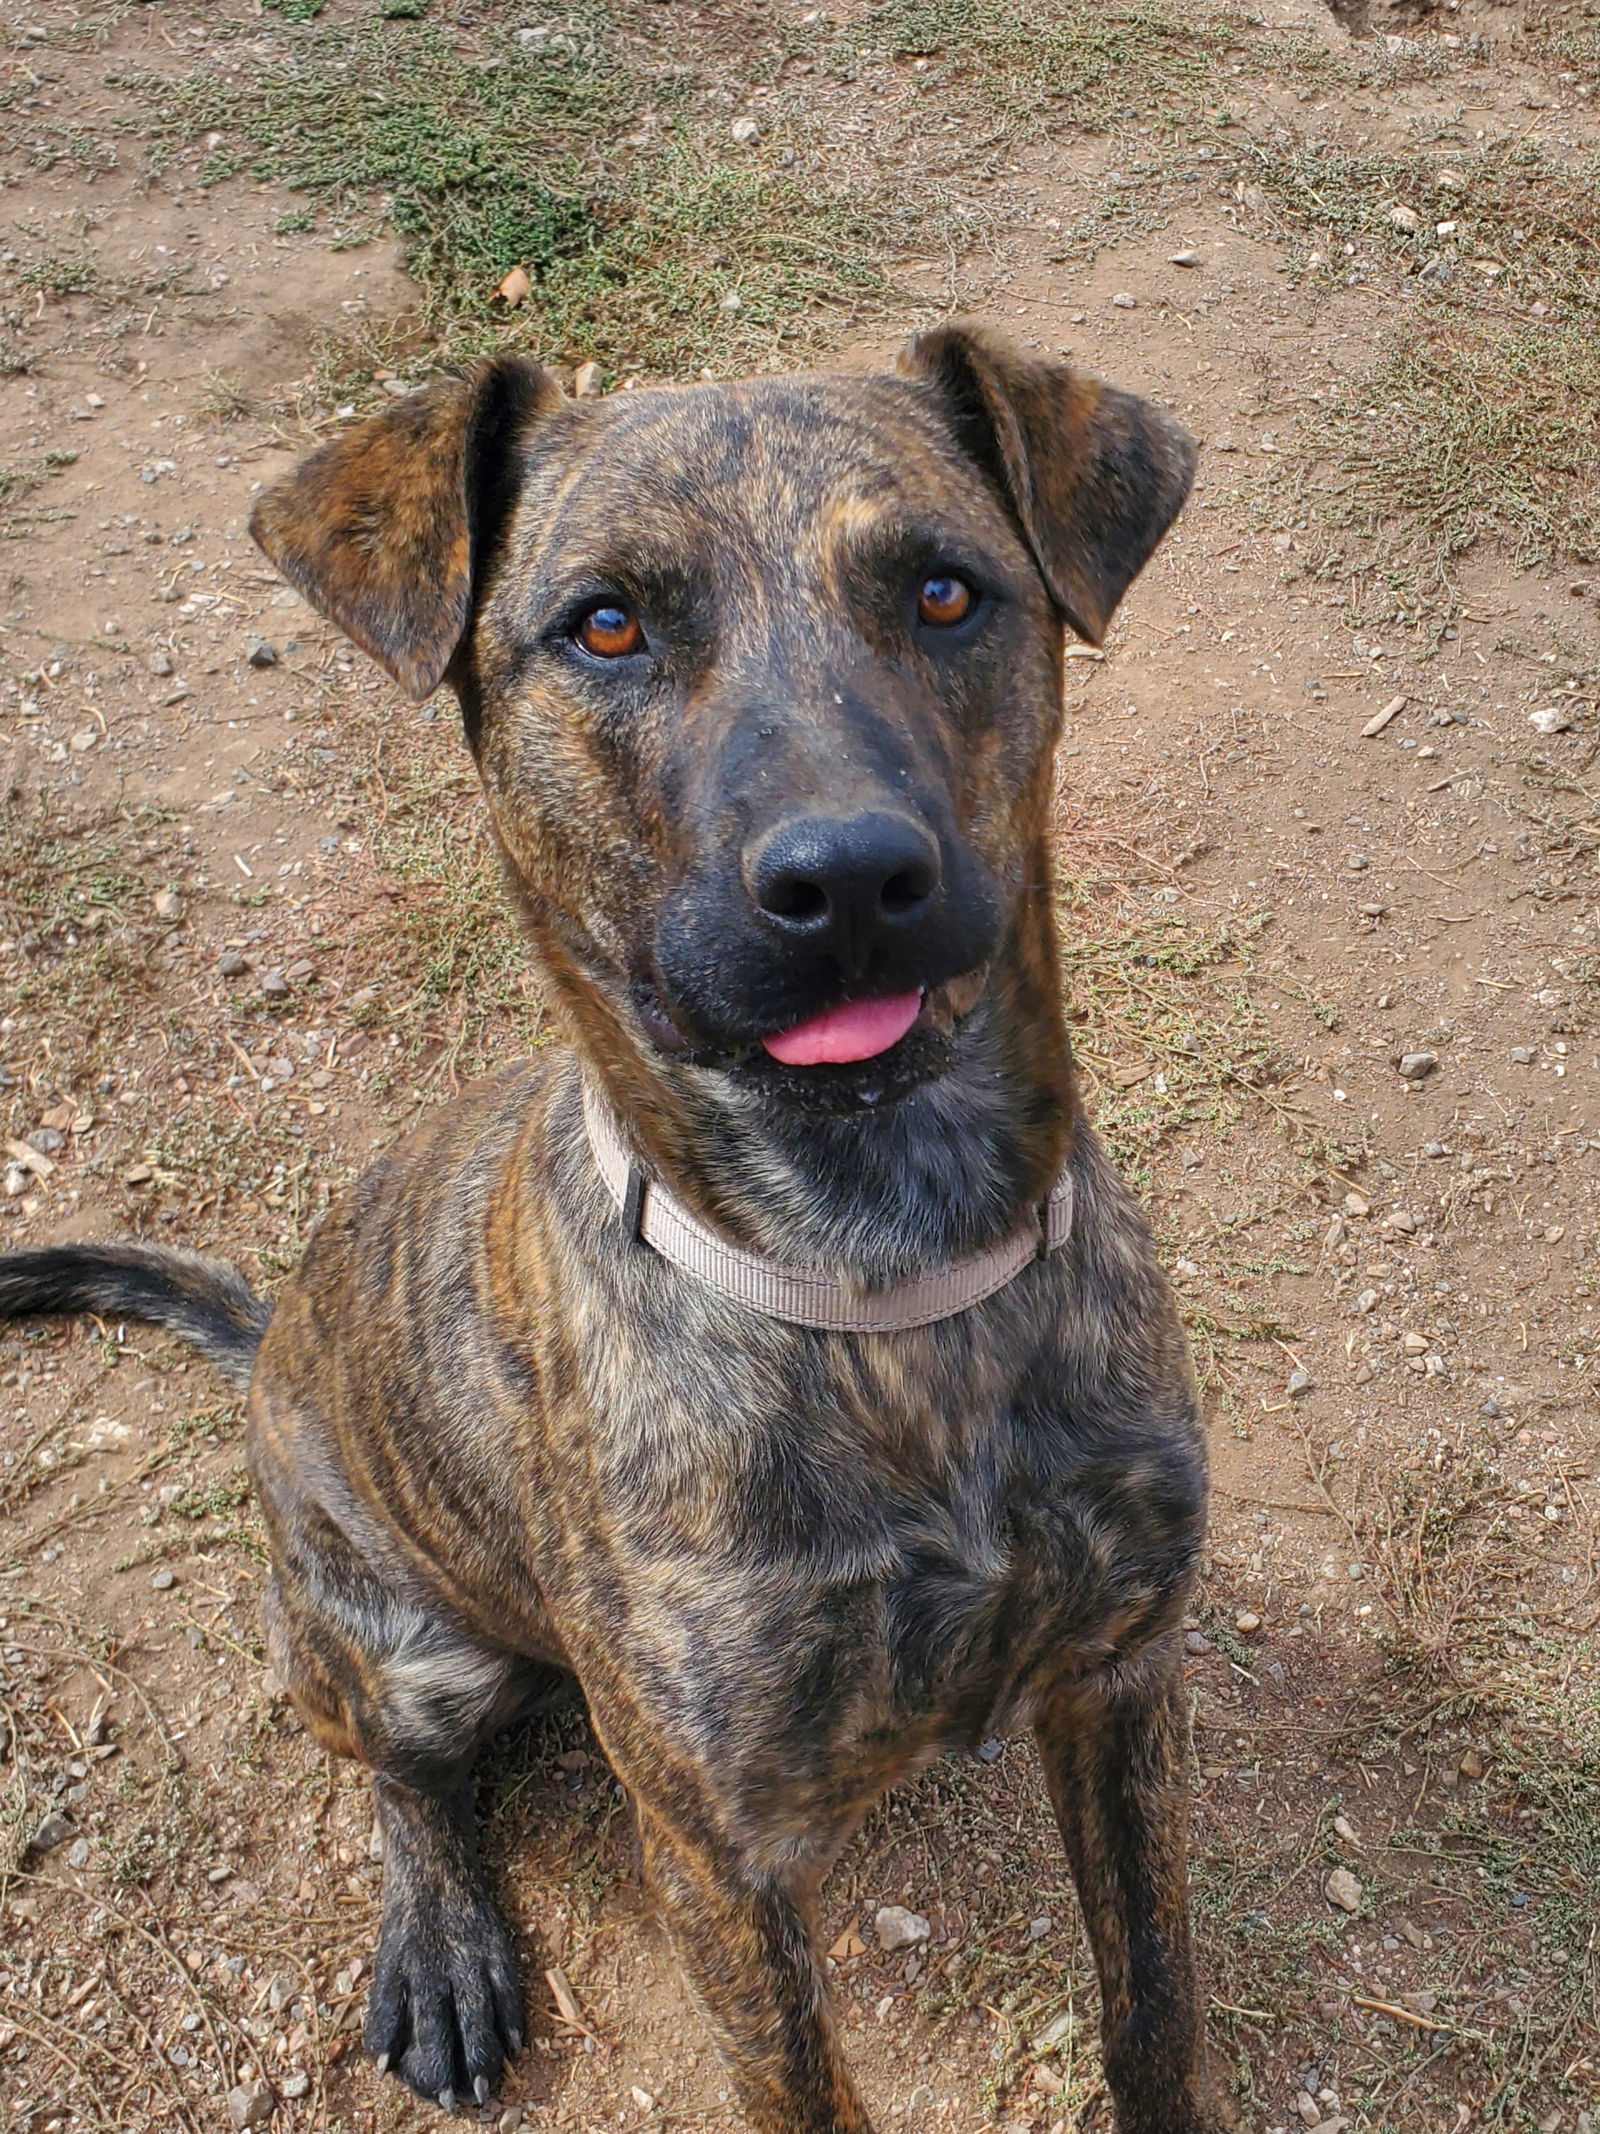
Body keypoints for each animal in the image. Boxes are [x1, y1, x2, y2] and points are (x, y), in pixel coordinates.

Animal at [0, 324, 1228, 2134]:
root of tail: (276, 1338)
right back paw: (441, 1945)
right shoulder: (720, 1856)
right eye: (605, 624)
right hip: (393, 1645)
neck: (886, 1266)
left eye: (945, 591)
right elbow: (804, 2089)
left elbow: (1154, 2002)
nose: (848, 878)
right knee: (401, 1776)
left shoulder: (1125, 1679)